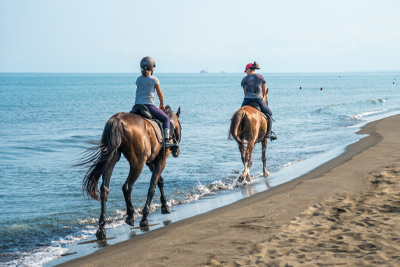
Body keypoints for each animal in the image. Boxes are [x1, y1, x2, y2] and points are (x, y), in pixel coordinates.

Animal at [78, 106, 181, 241]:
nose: (176, 151)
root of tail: (117, 120)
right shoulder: (160, 161)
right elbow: (152, 187)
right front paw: (145, 217)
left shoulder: (150, 163)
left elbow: (159, 182)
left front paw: (164, 206)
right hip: (138, 163)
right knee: (127, 187)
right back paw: (131, 216)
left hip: (111, 157)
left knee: (105, 189)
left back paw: (101, 228)